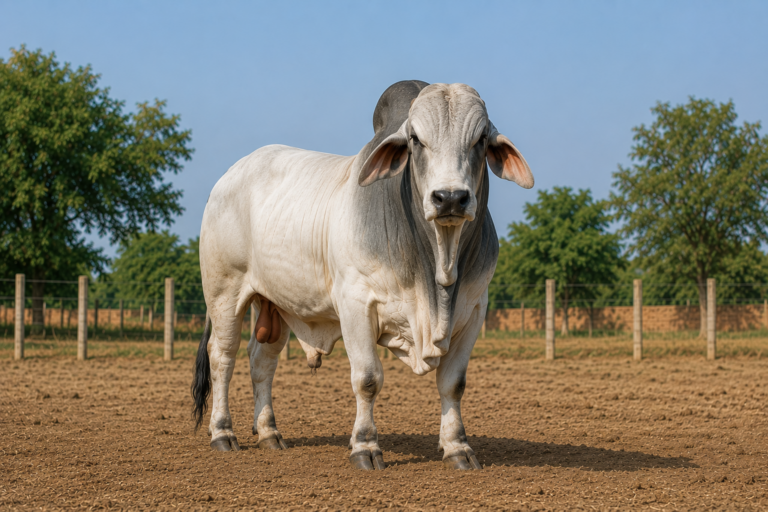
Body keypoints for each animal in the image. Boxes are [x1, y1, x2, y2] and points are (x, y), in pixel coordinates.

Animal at [191, 80, 534, 470]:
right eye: (415, 139)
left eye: (480, 139)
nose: (450, 198)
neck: (438, 269)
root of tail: (228, 176)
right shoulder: (355, 304)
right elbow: (368, 379)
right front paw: (365, 446)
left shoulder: (474, 310)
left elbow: (453, 383)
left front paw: (458, 447)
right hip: (224, 292)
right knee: (222, 357)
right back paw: (222, 432)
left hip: (275, 305)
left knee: (261, 361)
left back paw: (269, 434)